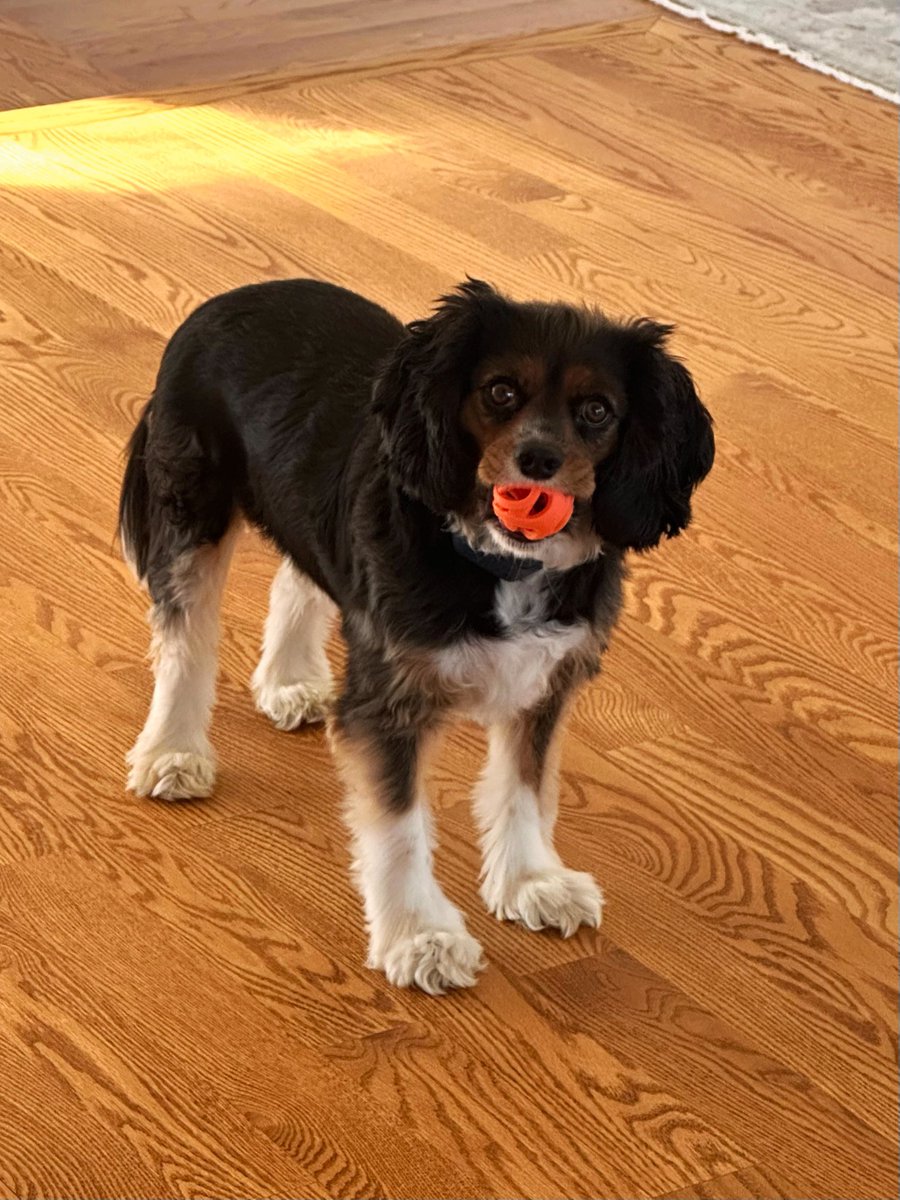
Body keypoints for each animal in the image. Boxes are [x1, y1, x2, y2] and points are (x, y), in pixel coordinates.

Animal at [120, 278, 715, 993]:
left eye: (597, 410)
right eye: (500, 392)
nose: (538, 460)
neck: (499, 561)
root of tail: (230, 297)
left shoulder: (547, 682)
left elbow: (527, 789)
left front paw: (532, 881)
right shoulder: (390, 703)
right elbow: (399, 828)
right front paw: (421, 937)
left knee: (300, 574)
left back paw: (289, 681)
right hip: (190, 507)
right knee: (185, 641)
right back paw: (173, 752)